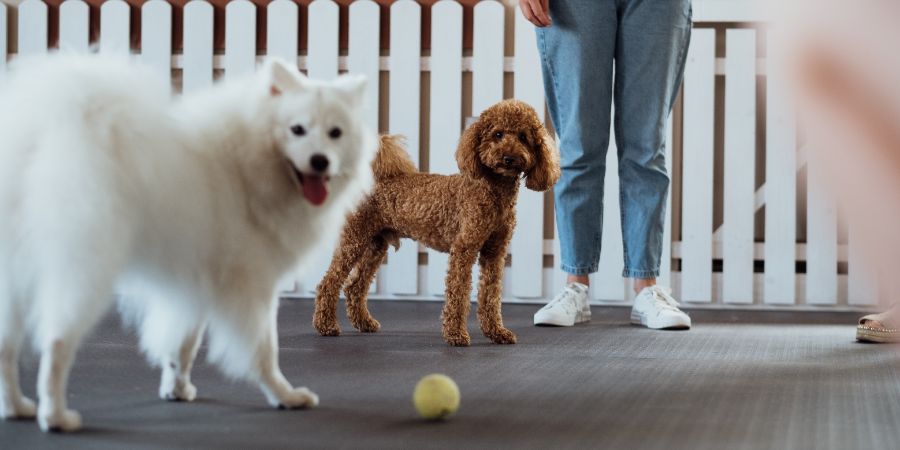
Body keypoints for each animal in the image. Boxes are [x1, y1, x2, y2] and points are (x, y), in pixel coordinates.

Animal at [0, 53, 376, 432]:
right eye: (297, 129)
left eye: (335, 133)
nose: (320, 161)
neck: (248, 159)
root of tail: (43, 135)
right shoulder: (251, 285)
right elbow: (264, 350)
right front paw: (284, 395)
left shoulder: (196, 281)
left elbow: (184, 344)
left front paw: (176, 388)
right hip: (84, 271)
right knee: (56, 342)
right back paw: (55, 416)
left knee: (6, 346)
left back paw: (16, 406)